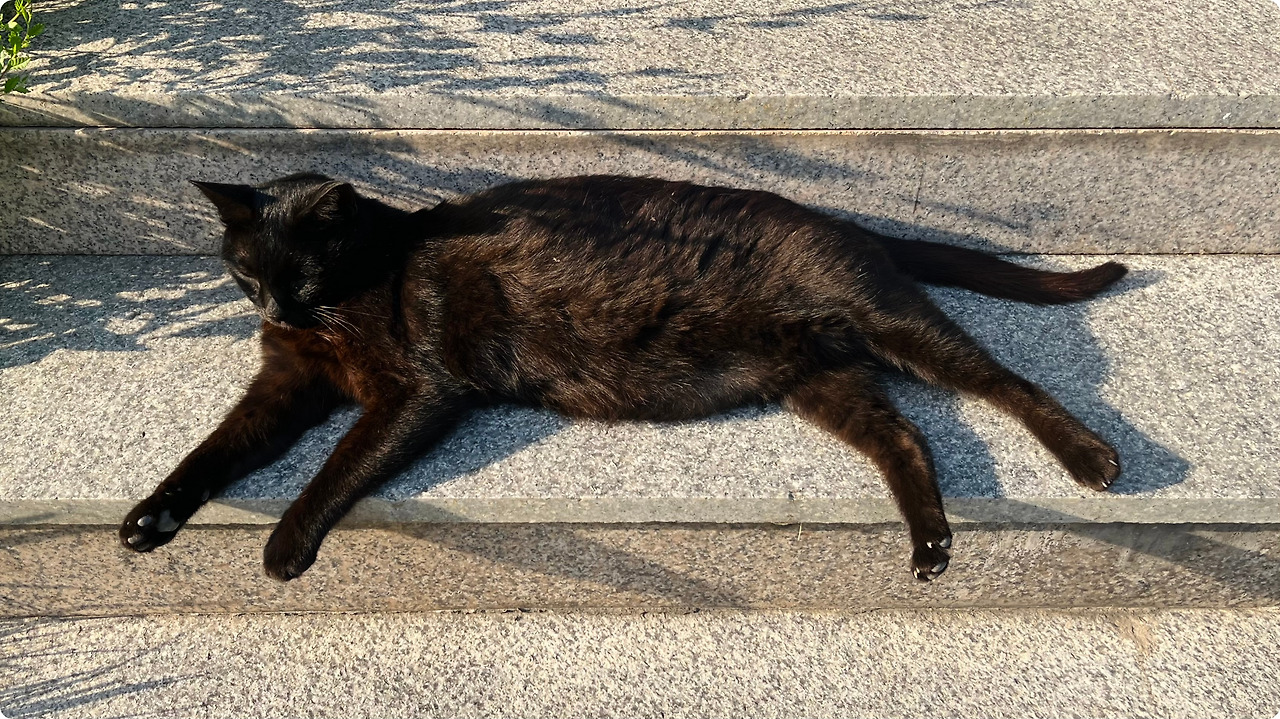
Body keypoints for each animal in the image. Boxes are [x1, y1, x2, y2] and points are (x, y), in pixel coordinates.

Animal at [120, 172, 1126, 582]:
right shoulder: (284, 383)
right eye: (246, 273)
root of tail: (847, 223)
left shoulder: (417, 391)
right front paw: (151, 517)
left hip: (893, 327)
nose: (276, 310)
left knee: (1006, 382)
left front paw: (285, 543)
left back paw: (1090, 458)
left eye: (306, 272)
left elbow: (335, 466)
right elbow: (215, 449)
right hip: (820, 381)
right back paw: (931, 544)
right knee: (906, 432)